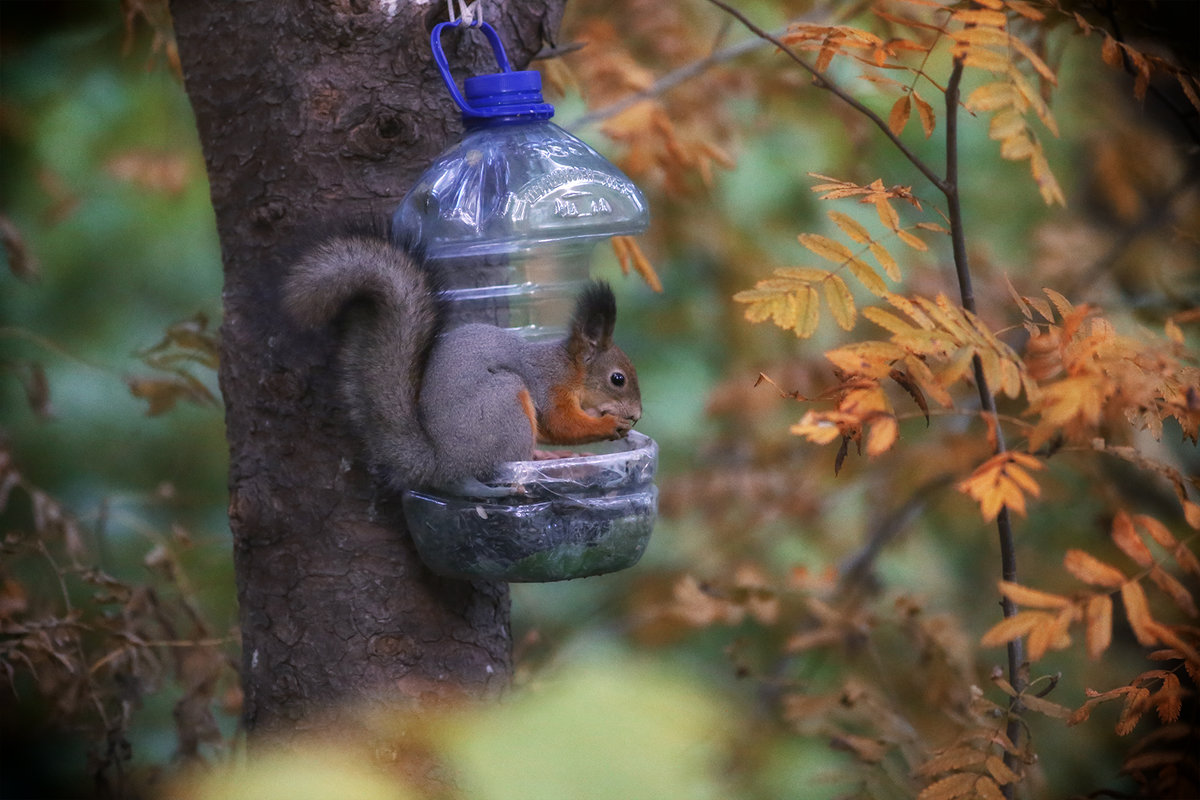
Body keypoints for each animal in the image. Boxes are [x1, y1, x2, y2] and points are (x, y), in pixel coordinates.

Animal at [284, 235, 643, 491]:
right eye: (618, 379)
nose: (637, 415)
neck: (571, 370)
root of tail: (443, 462)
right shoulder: (548, 387)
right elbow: (560, 424)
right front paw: (608, 425)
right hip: (503, 401)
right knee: (510, 462)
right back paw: (542, 460)